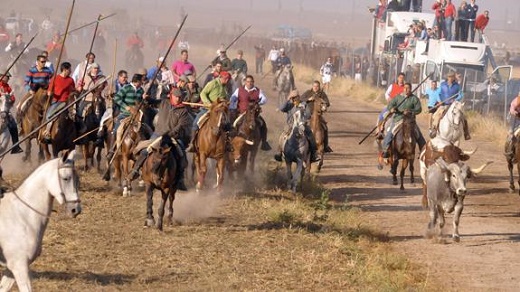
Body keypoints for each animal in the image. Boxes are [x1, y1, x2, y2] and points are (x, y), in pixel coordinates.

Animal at [0, 149, 80, 290]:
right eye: (66, 178)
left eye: (78, 179)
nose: (75, 209)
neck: (22, 215)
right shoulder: (19, 266)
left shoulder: (11, 269)